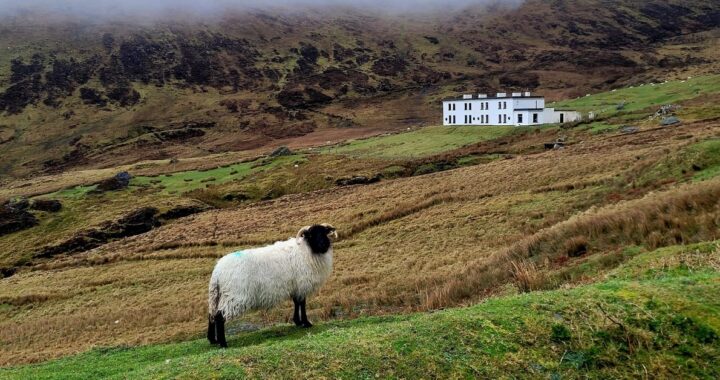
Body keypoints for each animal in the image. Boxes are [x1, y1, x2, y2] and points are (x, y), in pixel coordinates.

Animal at [205, 224, 334, 348]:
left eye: (324, 233)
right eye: (311, 235)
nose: (324, 245)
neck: (306, 250)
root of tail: (217, 272)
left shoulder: (295, 287)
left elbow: (296, 303)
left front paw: (297, 322)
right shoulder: (302, 285)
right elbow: (302, 304)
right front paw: (306, 323)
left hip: (216, 295)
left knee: (211, 314)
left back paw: (213, 340)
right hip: (235, 296)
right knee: (219, 316)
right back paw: (223, 343)